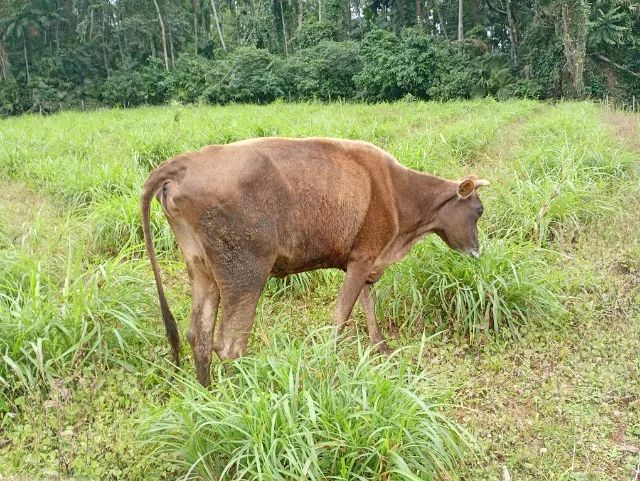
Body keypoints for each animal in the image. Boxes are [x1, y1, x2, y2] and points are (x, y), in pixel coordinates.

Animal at [141, 137, 489, 386]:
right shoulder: (364, 256)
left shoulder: (365, 259)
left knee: (198, 335)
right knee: (229, 344)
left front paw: (381, 349)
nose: (477, 252)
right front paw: (330, 364)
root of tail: (185, 162)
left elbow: (368, 305)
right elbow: (342, 315)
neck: (399, 197)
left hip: (202, 269)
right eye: (478, 211)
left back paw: (206, 397)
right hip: (245, 272)